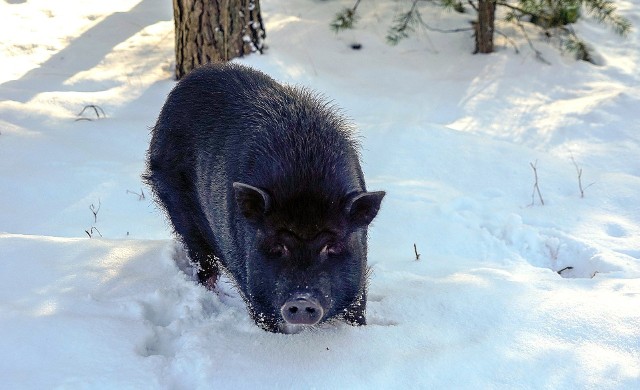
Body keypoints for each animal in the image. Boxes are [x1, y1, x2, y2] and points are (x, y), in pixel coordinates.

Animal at [146, 63, 384, 332]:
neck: (305, 180)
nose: (302, 300)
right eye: (278, 245)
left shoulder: (359, 277)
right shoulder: (253, 287)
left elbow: (357, 312)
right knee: (203, 264)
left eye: (331, 246)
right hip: (176, 205)